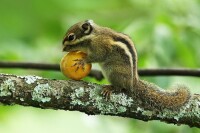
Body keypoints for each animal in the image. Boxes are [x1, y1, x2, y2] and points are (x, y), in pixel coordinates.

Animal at [62, 19, 191, 110]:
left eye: (71, 37)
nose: (63, 48)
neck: (92, 36)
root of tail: (133, 83)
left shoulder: (101, 47)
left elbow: (98, 56)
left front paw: (83, 60)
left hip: (113, 71)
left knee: (120, 88)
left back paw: (111, 88)